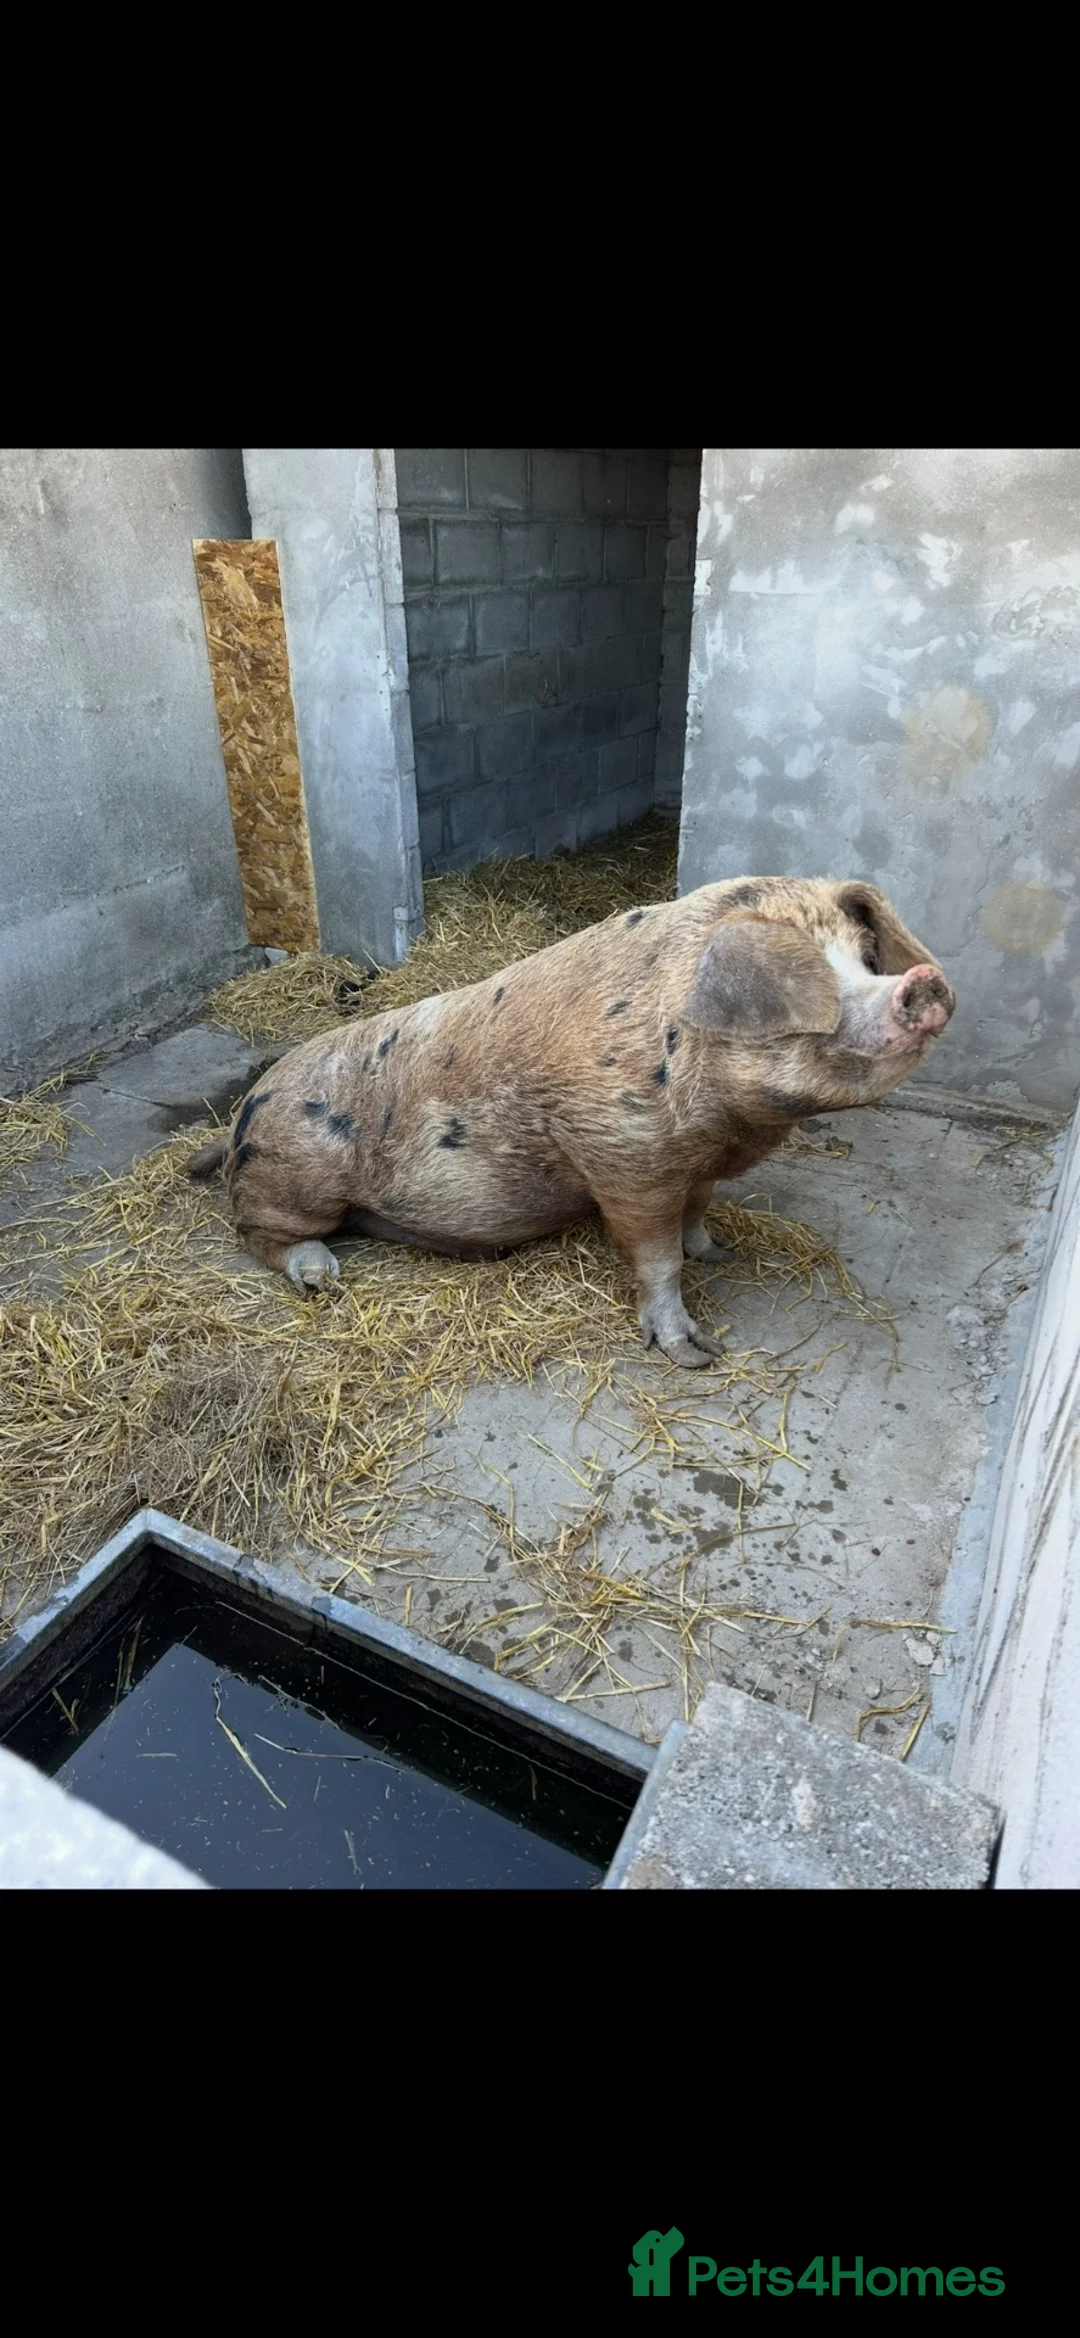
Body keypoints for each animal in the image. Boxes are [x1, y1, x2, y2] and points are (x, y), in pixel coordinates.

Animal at [189, 876, 954, 1368]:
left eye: (864, 958)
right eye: (814, 977)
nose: (925, 984)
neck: (727, 1128)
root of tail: (240, 1118)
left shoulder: (698, 1164)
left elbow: (697, 1216)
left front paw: (721, 1254)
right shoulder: (624, 1156)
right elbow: (655, 1256)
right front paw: (697, 1354)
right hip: (296, 1178)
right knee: (258, 1234)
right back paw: (322, 1276)